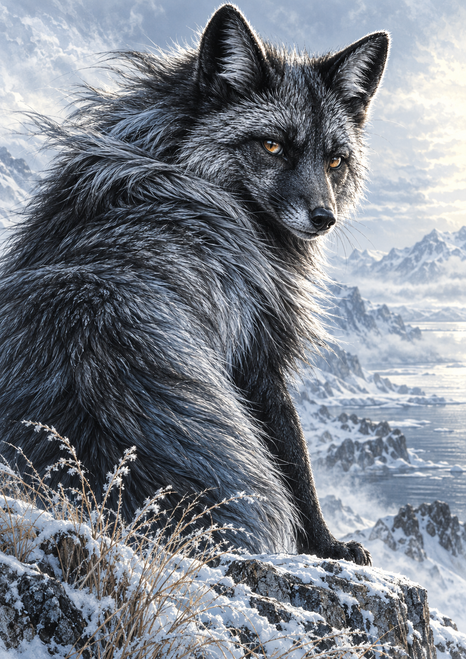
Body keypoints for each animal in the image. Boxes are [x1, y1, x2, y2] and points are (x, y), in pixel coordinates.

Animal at [0, 5, 389, 563]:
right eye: (272, 145)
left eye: (335, 159)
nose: (324, 218)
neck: (179, 166)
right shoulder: (258, 358)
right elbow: (297, 465)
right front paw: (328, 546)